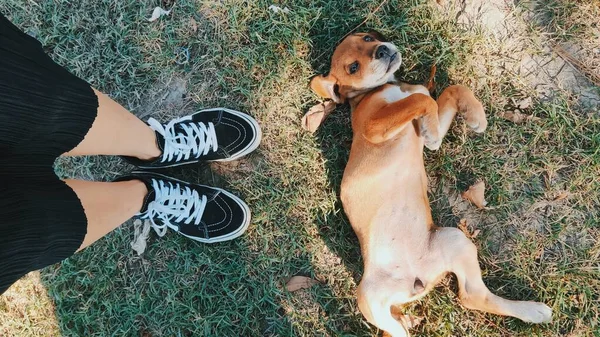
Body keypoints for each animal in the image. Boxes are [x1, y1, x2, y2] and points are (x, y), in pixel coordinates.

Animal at [312, 30, 552, 334]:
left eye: (367, 38)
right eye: (353, 67)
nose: (381, 50)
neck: (386, 87)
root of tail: (416, 281)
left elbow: (448, 92)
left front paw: (471, 117)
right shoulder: (373, 125)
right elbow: (422, 101)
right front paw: (435, 132)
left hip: (455, 240)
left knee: (472, 297)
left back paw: (533, 311)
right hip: (370, 298)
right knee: (406, 326)